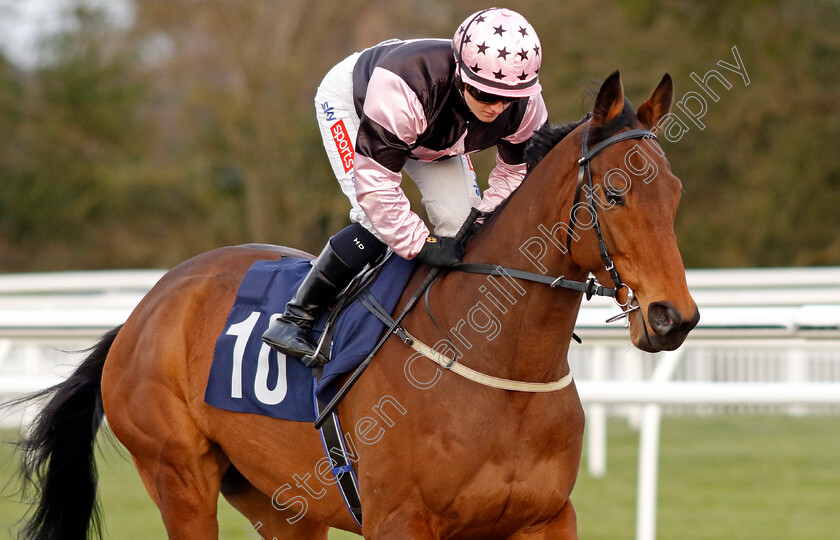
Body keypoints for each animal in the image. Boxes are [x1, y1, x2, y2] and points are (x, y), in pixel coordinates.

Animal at [14, 71, 696, 540]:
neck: (503, 369)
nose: (675, 317)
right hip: (178, 478)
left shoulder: (546, 518)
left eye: (674, 191)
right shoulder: (400, 520)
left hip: (283, 504)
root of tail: (143, 311)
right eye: (614, 192)